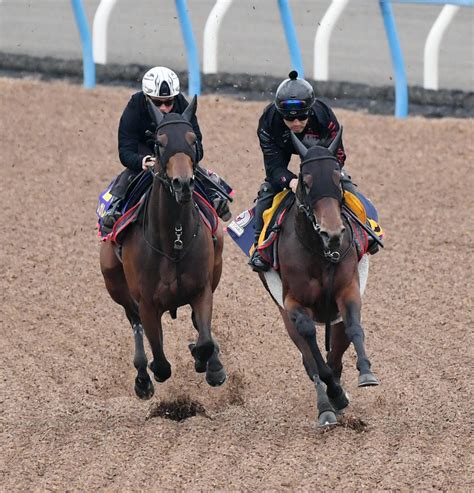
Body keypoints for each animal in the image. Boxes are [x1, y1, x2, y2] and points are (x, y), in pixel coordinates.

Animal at [99, 97, 227, 400]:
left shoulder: (202, 290)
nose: (183, 183)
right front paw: (151, 373)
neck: (174, 241)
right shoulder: (146, 303)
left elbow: (205, 340)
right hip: (116, 285)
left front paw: (208, 363)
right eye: (159, 142)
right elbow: (160, 362)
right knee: (135, 326)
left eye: (193, 139)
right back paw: (142, 377)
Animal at [260, 129, 378, 424]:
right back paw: (327, 406)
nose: (332, 232)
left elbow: (354, 327)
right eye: (307, 181)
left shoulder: (347, 289)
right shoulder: (292, 303)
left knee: (336, 352)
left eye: (337, 178)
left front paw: (366, 372)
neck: (320, 252)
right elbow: (311, 351)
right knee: (311, 358)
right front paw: (333, 395)